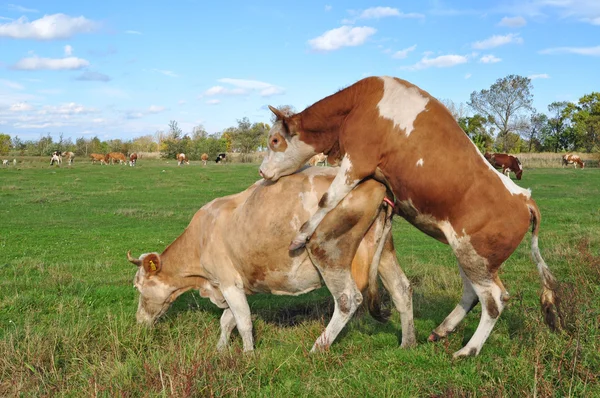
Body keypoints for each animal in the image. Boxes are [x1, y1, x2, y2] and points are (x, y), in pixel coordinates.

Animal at [127, 166, 418, 352]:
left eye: (138, 287)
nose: (139, 322)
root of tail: (376, 182)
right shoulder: (239, 284)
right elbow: (228, 321)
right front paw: (221, 350)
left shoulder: (228, 281)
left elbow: (243, 322)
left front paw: (248, 355)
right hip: (384, 252)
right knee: (401, 289)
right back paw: (408, 344)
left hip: (328, 251)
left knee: (348, 299)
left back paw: (317, 348)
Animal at [258, 75, 564, 358]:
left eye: (275, 140)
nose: (261, 171)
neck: (361, 103)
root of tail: (524, 198)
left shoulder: (358, 161)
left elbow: (327, 199)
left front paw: (300, 236)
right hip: (470, 255)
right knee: (472, 292)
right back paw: (442, 330)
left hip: (475, 258)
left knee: (494, 300)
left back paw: (468, 350)